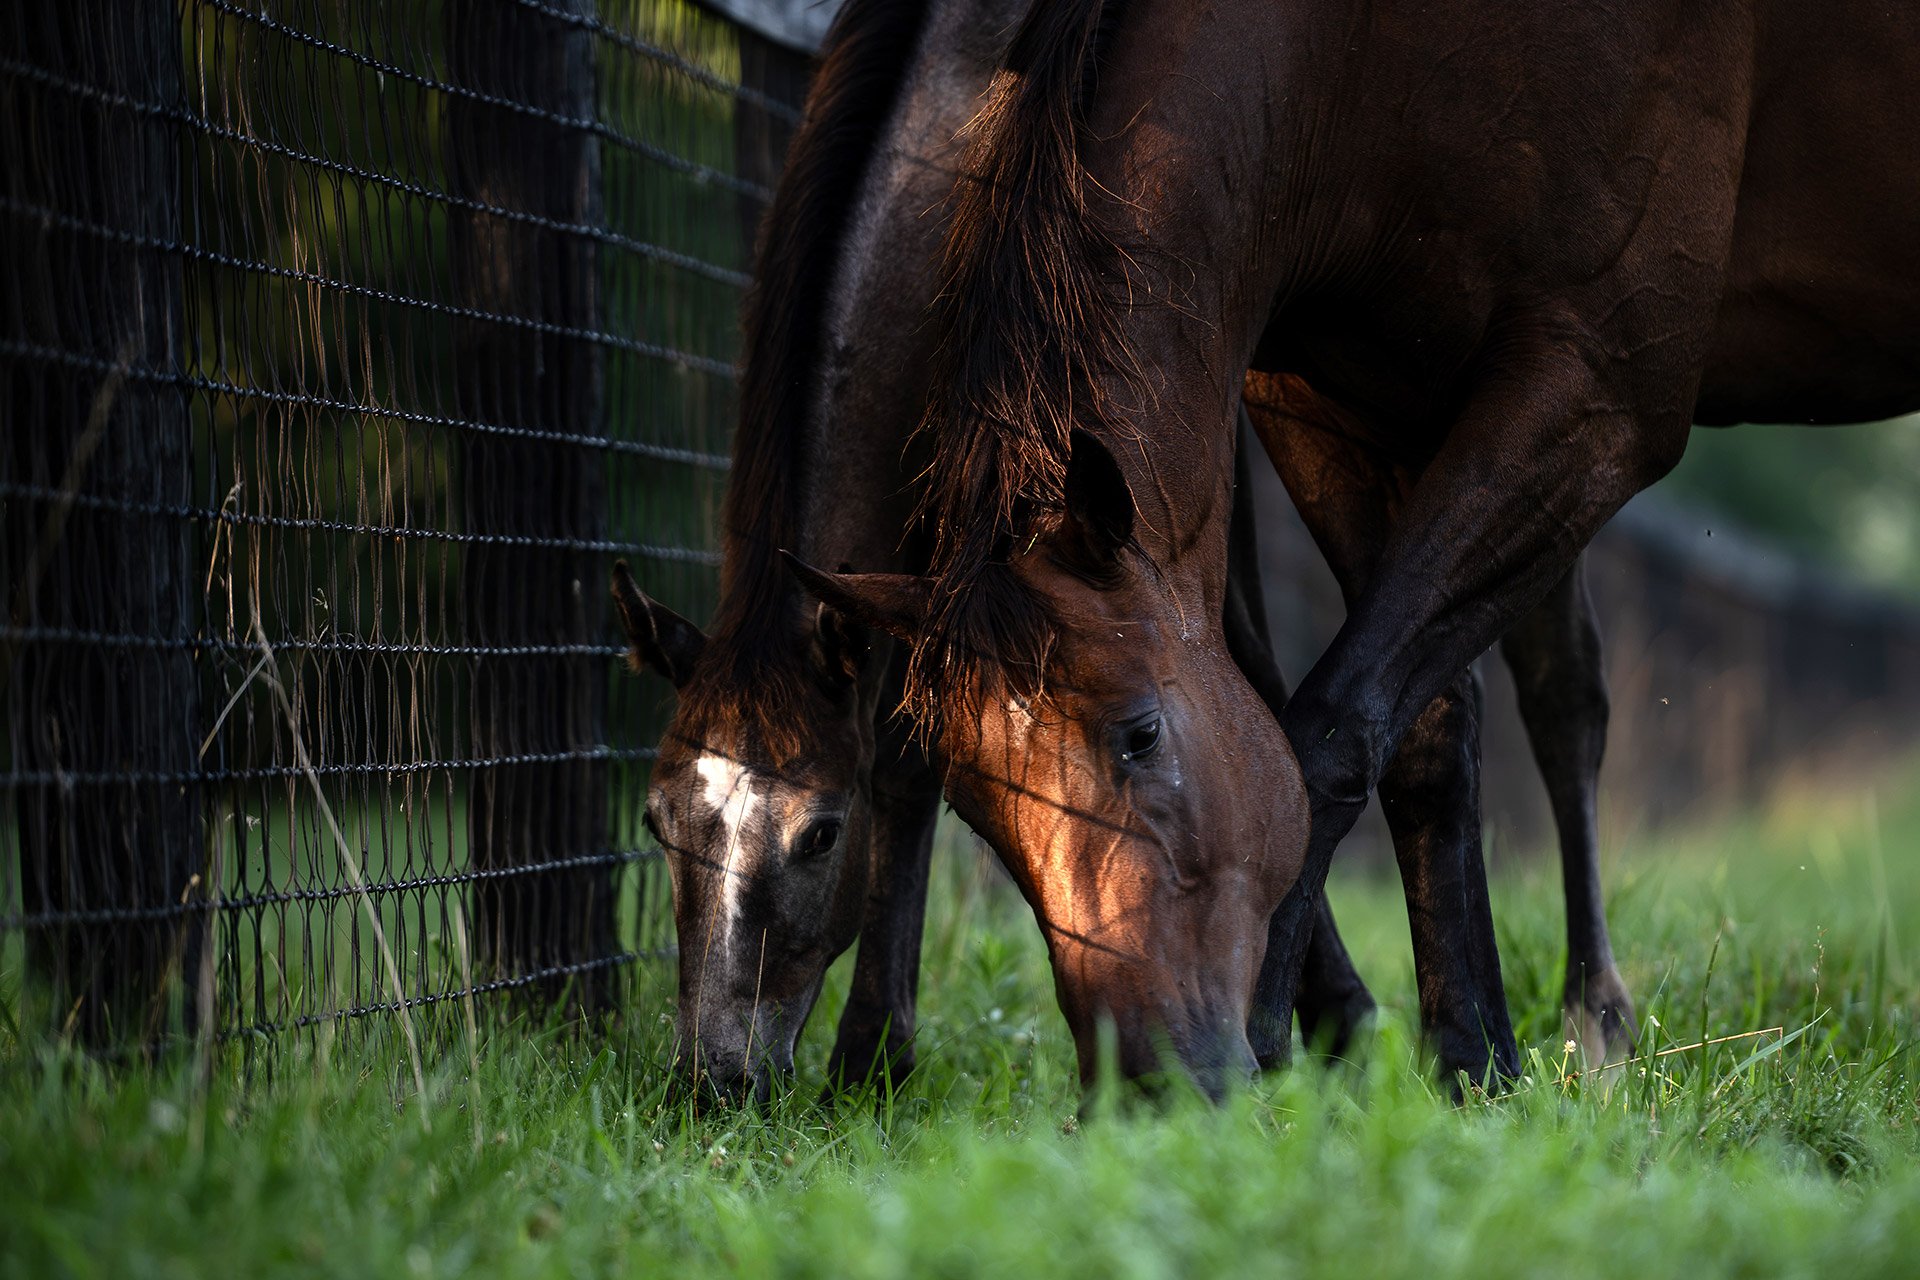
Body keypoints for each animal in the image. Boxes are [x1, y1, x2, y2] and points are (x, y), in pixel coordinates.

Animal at [800, 0, 1919, 1078]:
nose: (1148, 1076)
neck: (1376, 49)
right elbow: (1425, 732)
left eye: (1140, 735)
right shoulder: (1332, 404)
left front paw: (1276, 1037)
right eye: (974, 806)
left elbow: (1332, 729)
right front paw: (1473, 1057)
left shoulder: (1598, 398)